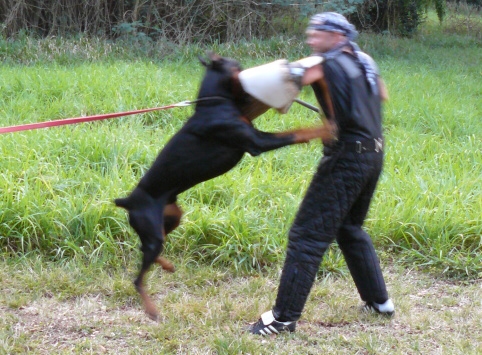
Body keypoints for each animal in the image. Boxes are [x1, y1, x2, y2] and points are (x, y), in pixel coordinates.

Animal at [116, 52, 336, 322]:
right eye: (238, 66)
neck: (213, 104)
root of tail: (127, 201)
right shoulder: (257, 142)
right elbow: (296, 133)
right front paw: (327, 128)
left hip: (172, 217)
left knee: (149, 248)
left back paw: (167, 265)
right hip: (153, 230)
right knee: (138, 278)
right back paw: (152, 309)